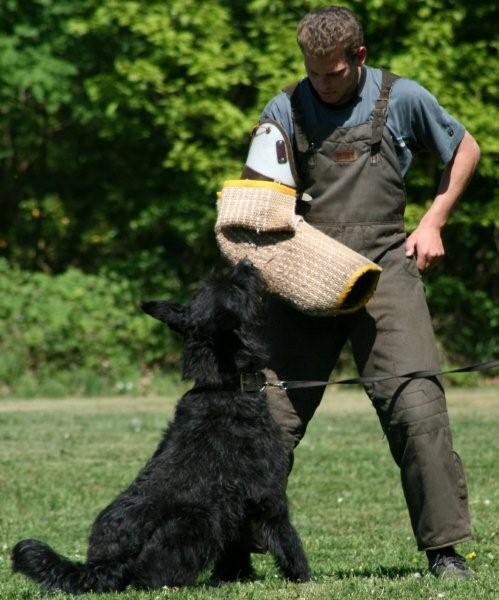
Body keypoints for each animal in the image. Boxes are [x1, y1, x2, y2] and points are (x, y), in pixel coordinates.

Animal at [11, 260, 310, 592]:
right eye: (234, 287)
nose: (244, 263)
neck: (224, 386)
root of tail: (101, 565)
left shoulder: (237, 507)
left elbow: (235, 547)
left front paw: (233, 576)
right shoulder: (269, 497)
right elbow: (287, 540)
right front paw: (305, 577)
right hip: (198, 520)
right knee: (149, 579)